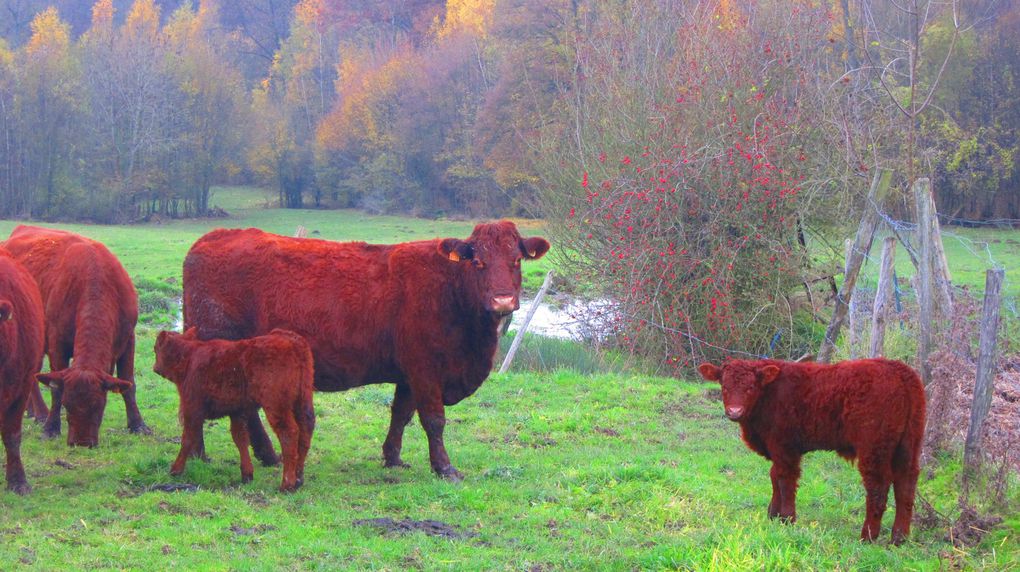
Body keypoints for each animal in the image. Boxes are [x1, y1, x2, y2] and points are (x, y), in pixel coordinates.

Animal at [1, 224, 148, 446]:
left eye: (99, 405)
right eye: (67, 405)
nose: (82, 443)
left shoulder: (128, 338)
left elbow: (128, 383)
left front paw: (138, 425)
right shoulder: (56, 342)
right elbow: (56, 389)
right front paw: (51, 428)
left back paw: (32, 412)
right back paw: (41, 413)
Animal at [151, 326, 314, 491]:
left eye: (155, 348)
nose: (155, 367)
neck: (189, 358)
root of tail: (292, 340)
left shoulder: (192, 409)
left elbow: (188, 438)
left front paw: (176, 470)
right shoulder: (237, 411)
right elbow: (240, 438)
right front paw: (247, 474)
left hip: (276, 406)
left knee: (289, 433)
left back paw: (287, 484)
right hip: (303, 401)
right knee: (306, 431)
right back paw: (299, 478)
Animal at [183, 218, 550, 477]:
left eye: (517, 260)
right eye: (478, 262)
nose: (503, 300)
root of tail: (214, 236)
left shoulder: (408, 373)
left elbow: (401, 414)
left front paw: (393, 457)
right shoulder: (426, 369)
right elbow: (434, 419)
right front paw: (445, 468)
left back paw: (263, 455)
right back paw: (208, 454)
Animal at [697, 356, 930, 542]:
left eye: (750, 388)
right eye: (724, 387)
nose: (734, 411)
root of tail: (897, 368)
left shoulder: (784, 447)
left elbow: (785, 480)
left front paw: (787, 518)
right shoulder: (777, 449)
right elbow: (774, 476)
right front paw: (773, 514)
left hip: (874, 449)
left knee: (878, 487)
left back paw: (868, 537)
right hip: (909, 445)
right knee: (906, 486)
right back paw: (899, 537)